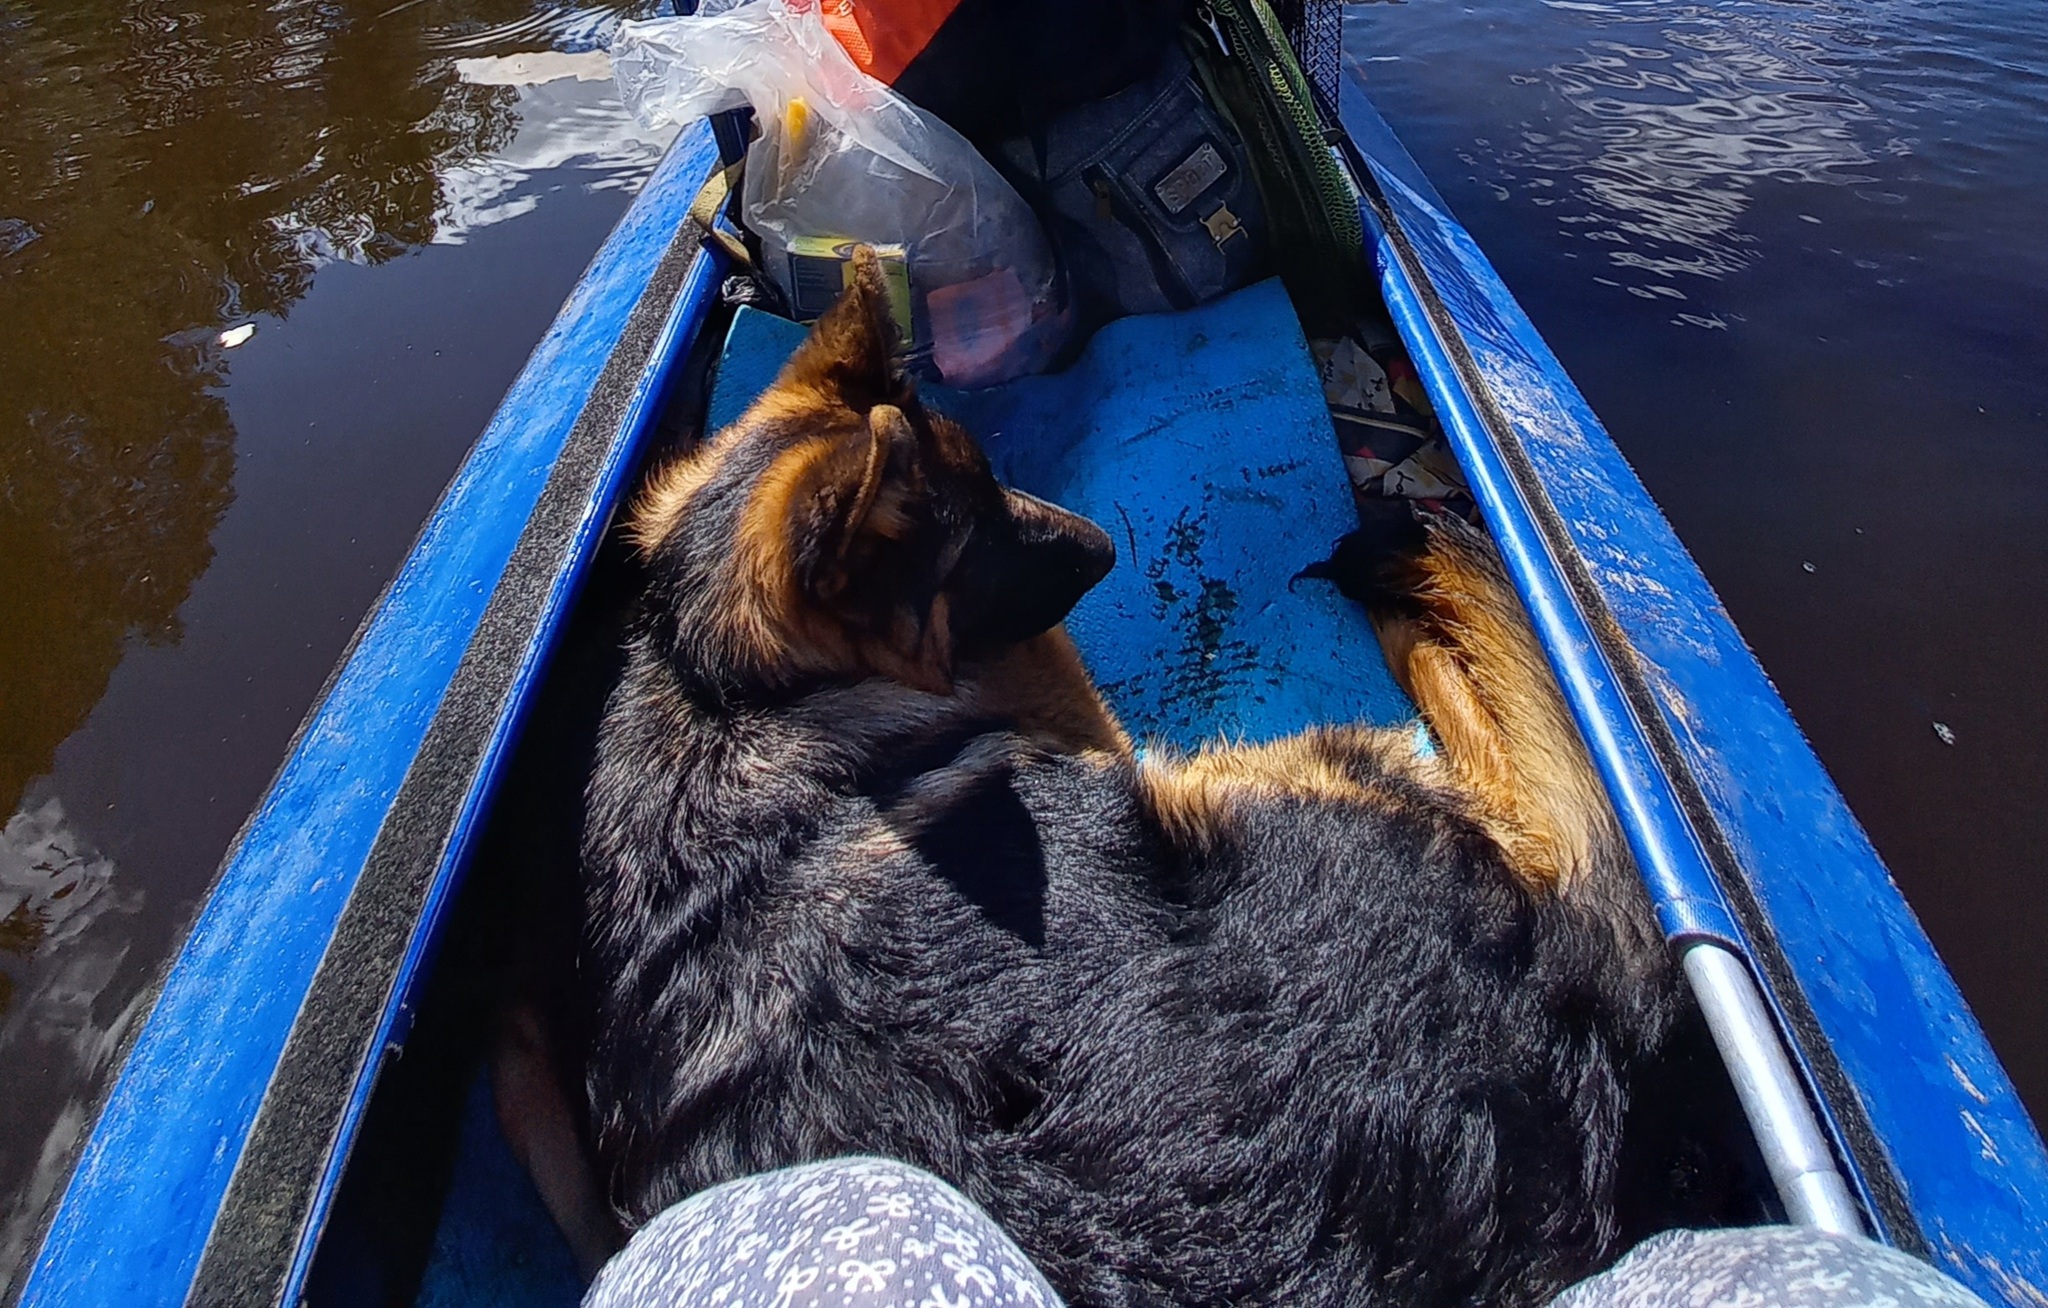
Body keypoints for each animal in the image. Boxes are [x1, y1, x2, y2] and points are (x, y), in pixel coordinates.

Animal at [577, 255, 1679, 1308]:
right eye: (982, 536)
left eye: (997, 478)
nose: (1105, 547)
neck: (722, 686)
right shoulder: (1075, 706)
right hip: (1290, 779)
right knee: (1517, 789)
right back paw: (1414, 608)